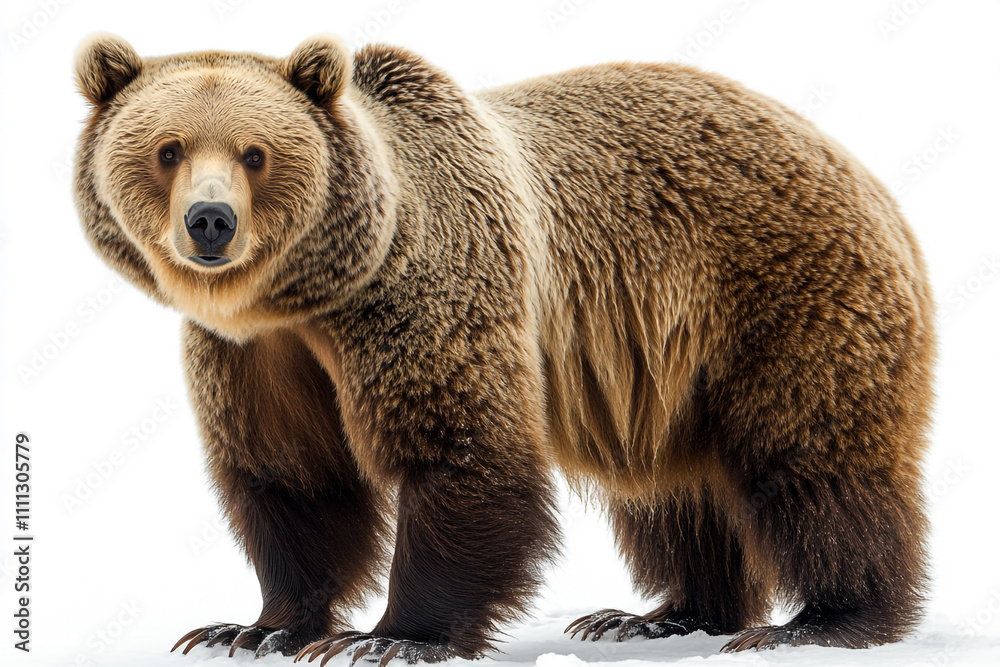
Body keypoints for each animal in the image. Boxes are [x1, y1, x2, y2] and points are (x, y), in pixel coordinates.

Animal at [73, 33, 935, 664]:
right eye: (168, 149)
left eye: (256, 153)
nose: (210, 222)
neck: (311, 296)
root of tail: (866, 176)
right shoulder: (256, 355)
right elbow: (293, 476)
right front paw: (251, 628)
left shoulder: (428, 288)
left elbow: (458, 448)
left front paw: (389, 637)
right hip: (669, 366)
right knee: (674, 488)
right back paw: (658, 614)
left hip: (778, 295)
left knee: (813, 457)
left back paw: (821, 620)